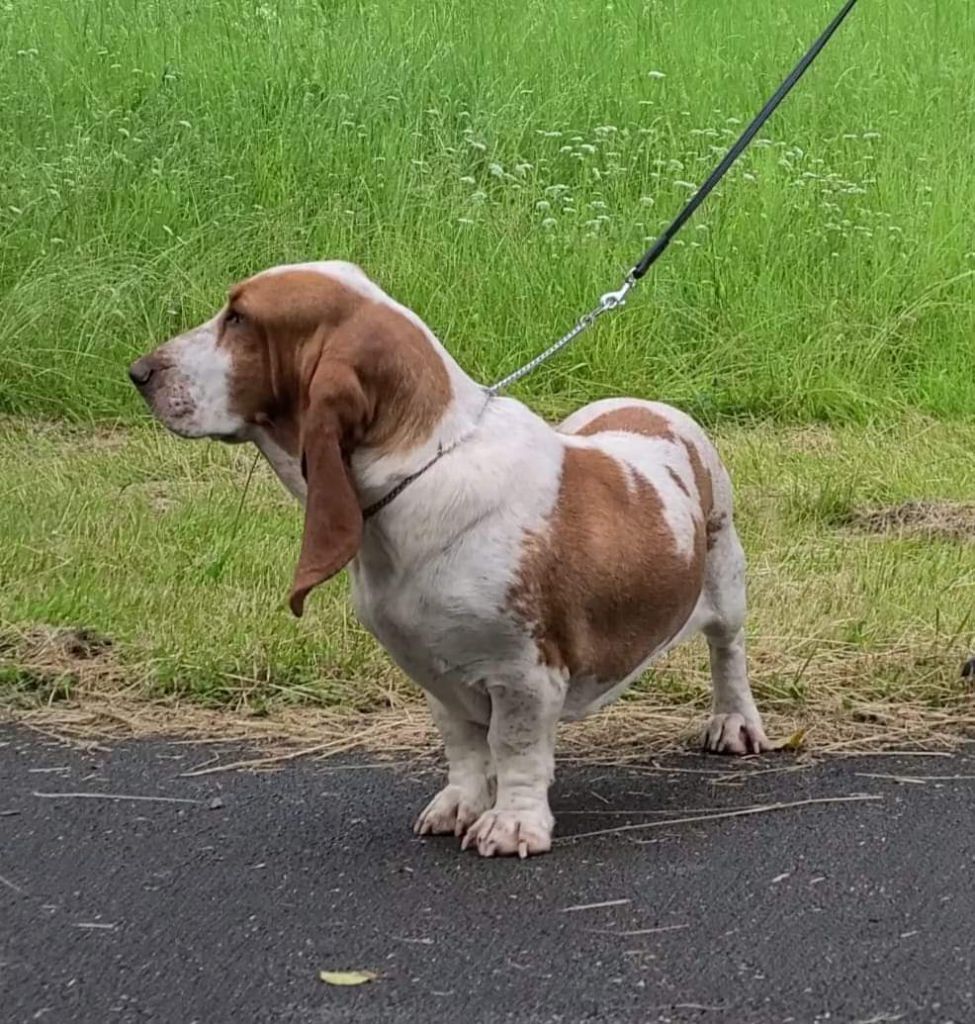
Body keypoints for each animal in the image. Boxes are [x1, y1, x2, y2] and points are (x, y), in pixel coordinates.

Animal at [129, 262, 770, 856]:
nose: (139, 372)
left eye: (238, 319)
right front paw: (461, 805)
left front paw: (512, 825)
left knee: (728, 654)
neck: (418, 471)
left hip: (726, 580)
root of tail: (651, 406)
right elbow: (463, 746)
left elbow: (514, 749)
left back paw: (733, 723)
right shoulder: (436, 673)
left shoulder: (523, 674)